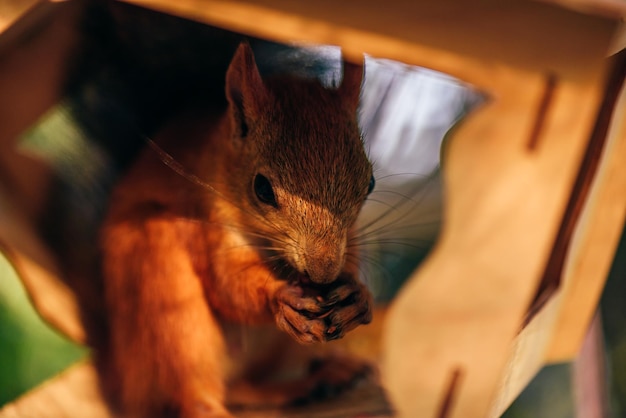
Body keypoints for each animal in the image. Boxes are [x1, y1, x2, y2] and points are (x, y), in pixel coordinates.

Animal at [101, 43, 376, 418]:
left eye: (370, 183)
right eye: (262, 189)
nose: (322, 274)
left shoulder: (351, 240)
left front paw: (358, 298)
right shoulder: (208, 221)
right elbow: (226, 284)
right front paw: (279, 297)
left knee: (238, 388)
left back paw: (312, 382)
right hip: (163, 292)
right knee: (194, 391)